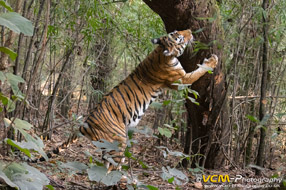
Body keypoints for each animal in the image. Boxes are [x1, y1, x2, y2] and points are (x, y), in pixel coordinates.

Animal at [36, 29, 218, 171]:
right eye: (179, 37)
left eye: (178, 31)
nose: (191, 31)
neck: (161, 52)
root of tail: (85, 123)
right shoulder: (181, 80)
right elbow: (199, 70)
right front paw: (212, 60)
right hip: (118, 141)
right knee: (111, 167)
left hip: (108, 146)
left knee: (106, 164)